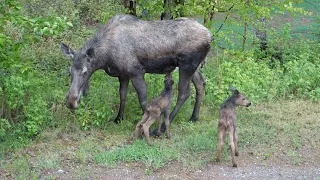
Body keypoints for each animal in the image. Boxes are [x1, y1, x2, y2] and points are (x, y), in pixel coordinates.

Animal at [60, 14, 211, 125]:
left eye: (85, 72)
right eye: (70, 72)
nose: (71, 102)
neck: (105, 58)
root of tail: (210, 36)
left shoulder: (136, 72)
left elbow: (143, 100)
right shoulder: (123, 75)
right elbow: (123, 95)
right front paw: (119, 118)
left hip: (187, 65)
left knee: (184, 92)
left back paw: (165, 125)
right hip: (194, 67)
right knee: (201, 84)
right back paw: (194, 117)